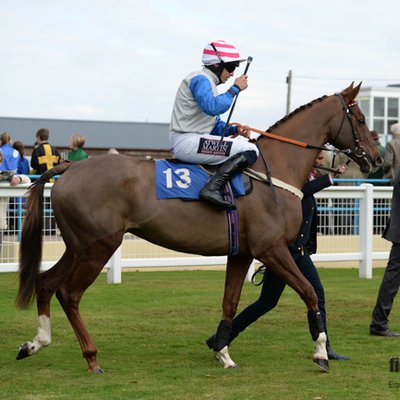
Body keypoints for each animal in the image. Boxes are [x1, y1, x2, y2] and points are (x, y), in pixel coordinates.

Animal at [16, 83, 382, 374]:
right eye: (362, 119)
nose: (377, 159)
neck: (275, 172)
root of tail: (69, 168)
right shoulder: (272, 249)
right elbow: (309, 292)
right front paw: (320, 352)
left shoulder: (243, 253)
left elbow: (230, 301)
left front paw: (223, 352)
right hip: (98, 248)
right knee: (69, 293)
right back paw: (91, 357)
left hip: (78, 246)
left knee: (46, 283)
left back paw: (34, 343)